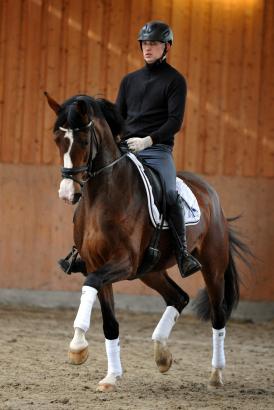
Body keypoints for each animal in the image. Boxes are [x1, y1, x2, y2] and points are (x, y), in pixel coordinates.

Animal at [44, 91, 250, 392]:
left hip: (212, 268)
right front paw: (111, 376)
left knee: (218, 314)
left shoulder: (123, 263)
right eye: (58, 140)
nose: (67, 193)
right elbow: (109, 322)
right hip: (150, 270)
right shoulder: (97, 263)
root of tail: (211, 194)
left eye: (82, 140)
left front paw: (77, 347)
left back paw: (216, 374)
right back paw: (162, 353)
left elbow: (90, 283)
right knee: (179, 297)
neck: (103, 195)